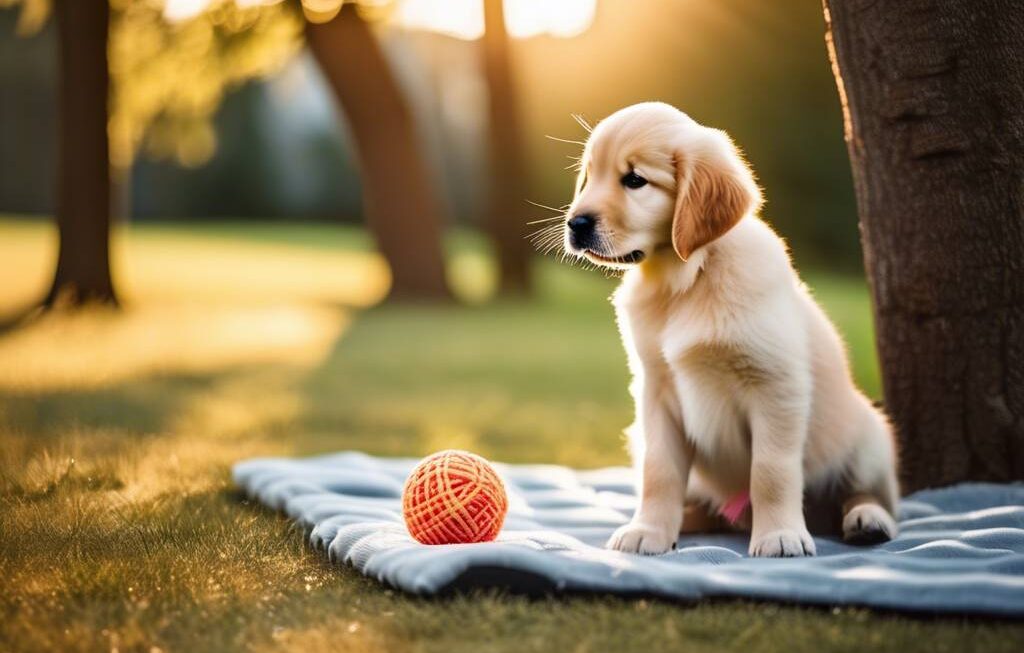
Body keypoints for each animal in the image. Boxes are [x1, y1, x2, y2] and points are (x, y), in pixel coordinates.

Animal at [565, 102, 901, 556]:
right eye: (589, 174)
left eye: (635, 180)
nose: (575, 224)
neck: (688, 277)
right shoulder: (656, 391)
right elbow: (659, 471)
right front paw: (649, 530)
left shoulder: (776, 385)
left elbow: (771, 471)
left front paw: (779, 535)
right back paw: (687, 519)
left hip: (870, 438)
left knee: (871, 494)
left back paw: (868, 519)